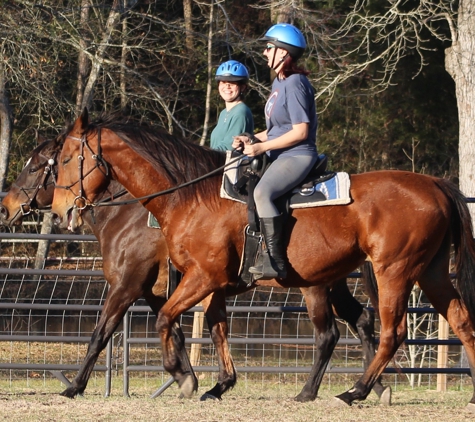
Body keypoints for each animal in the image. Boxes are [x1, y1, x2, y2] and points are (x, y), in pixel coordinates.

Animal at [0, 138, 390, 402]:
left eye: (36, 166)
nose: (6, 207)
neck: (127, 214)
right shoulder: (158, 292)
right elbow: (178, 332)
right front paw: (190, 379)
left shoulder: (127, 287)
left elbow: (101, 333)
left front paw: (76, 386)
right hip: (334, 283)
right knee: (362, 321)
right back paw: (374, 386)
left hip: (314, 285)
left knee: (331, 333)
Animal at [49, 109, 475, 412]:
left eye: (67, 158)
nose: (58, 211)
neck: (191, 196)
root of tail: (434, 183)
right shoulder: (211, 285)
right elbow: (216, 329)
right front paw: (217, 384)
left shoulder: (193, 278)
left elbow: (157, 320)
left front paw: (180, 377)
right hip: (429, 272)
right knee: (459, 320)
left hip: (392, 273)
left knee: (385, 332)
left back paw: (353, 391)